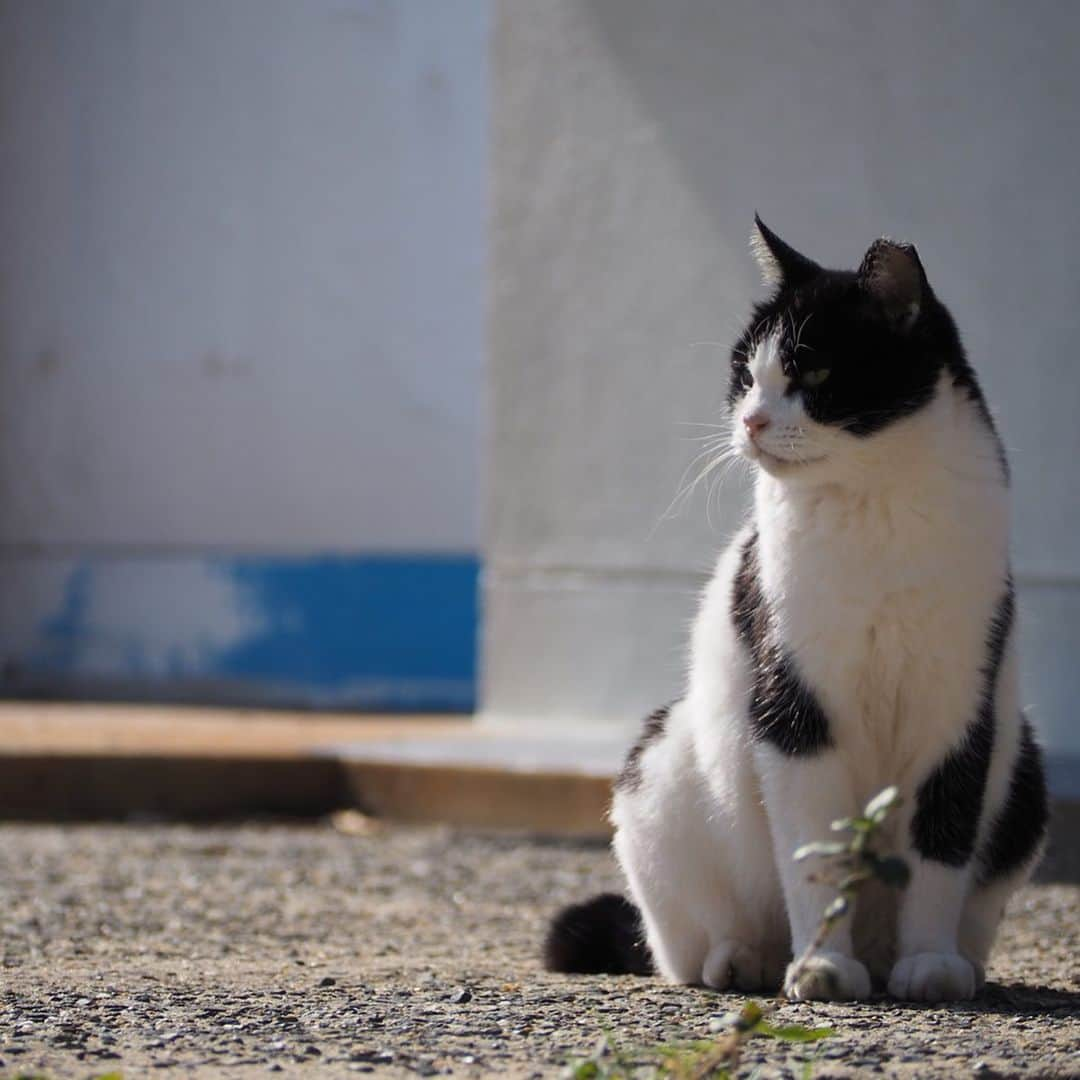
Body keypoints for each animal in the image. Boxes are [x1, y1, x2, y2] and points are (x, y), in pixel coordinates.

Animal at [548, 217, 1045, 1002]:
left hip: (1024, 767)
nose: (751, 421)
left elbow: (942, 843)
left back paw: (943, 964)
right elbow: (815, 850)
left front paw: (931, 962)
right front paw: (822, 967)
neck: (876, 508)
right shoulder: (795, 705)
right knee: (682, 945)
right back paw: (747, 960)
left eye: (812, 376)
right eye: (747, 376)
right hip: (659, 772)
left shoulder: (960, 705)